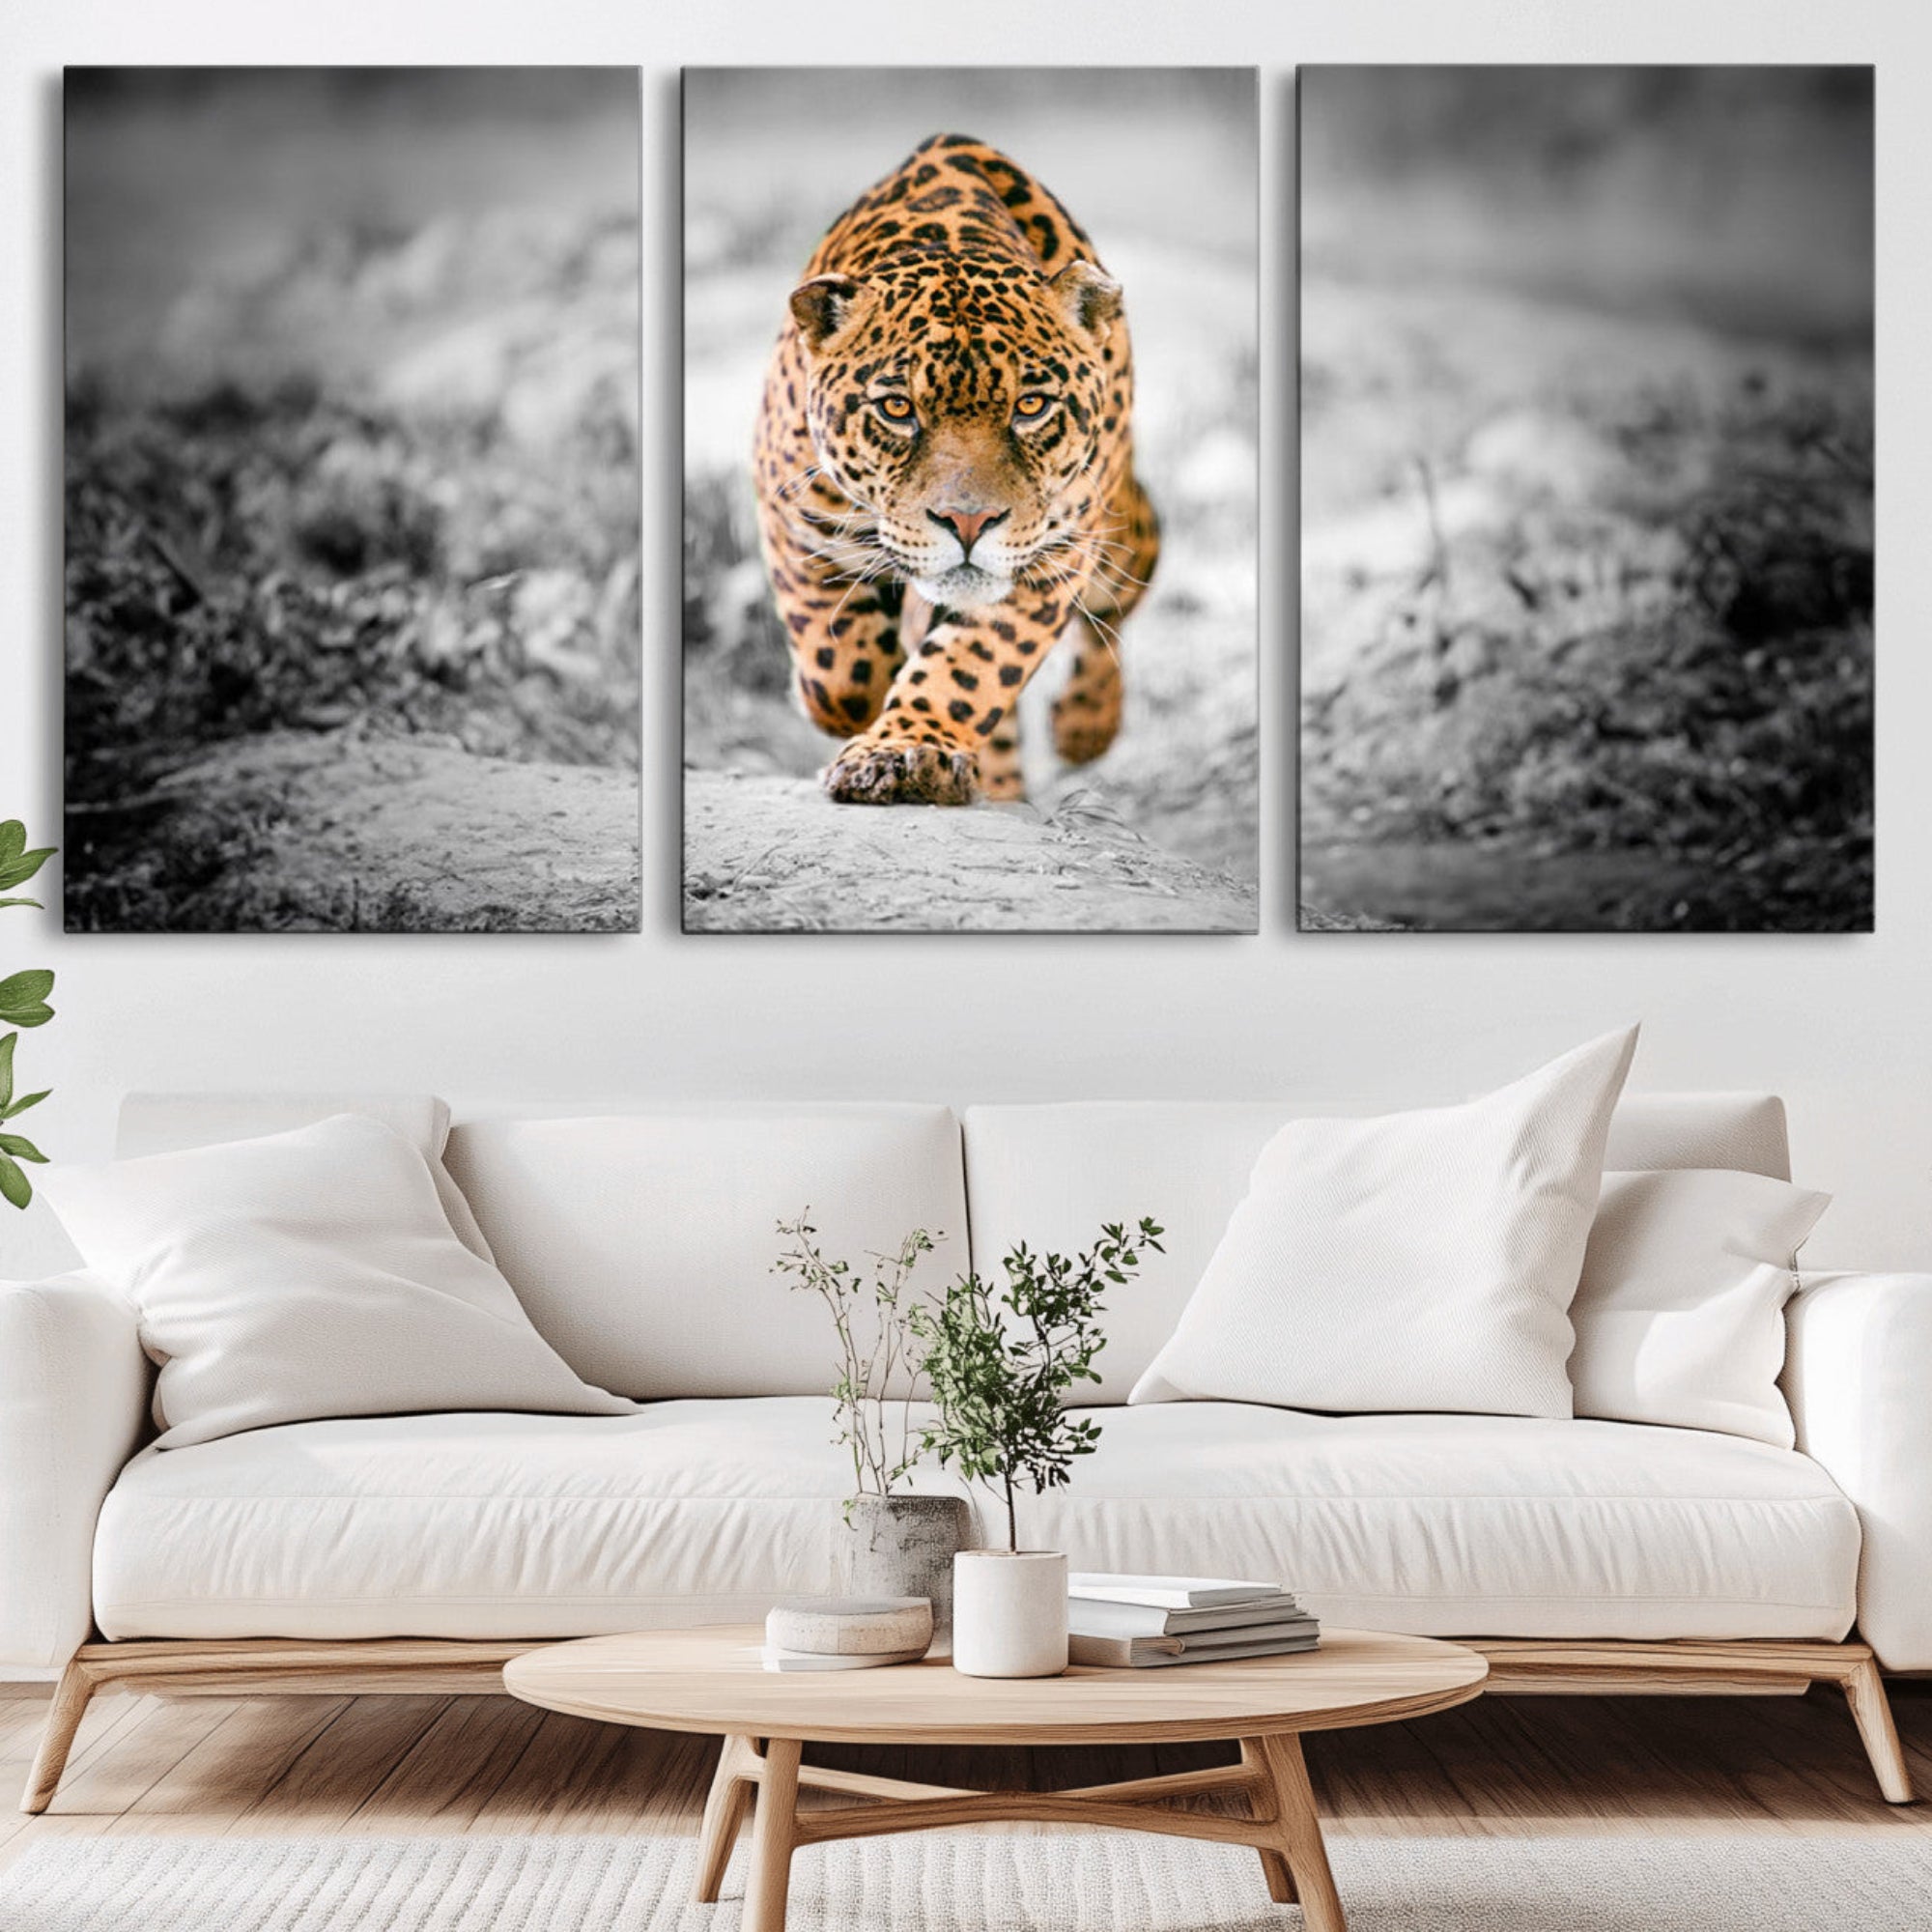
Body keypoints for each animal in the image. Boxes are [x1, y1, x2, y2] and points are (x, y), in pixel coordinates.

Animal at [752, 133, 1160, 806]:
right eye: (897, 408)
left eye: (1031, 406)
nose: (968, 523)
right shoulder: (796, 515)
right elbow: (839, 672)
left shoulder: (1053, 556)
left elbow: (972, 666)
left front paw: (904, 751)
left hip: (1118, 532)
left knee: (1116, 601)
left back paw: (1085, 726)